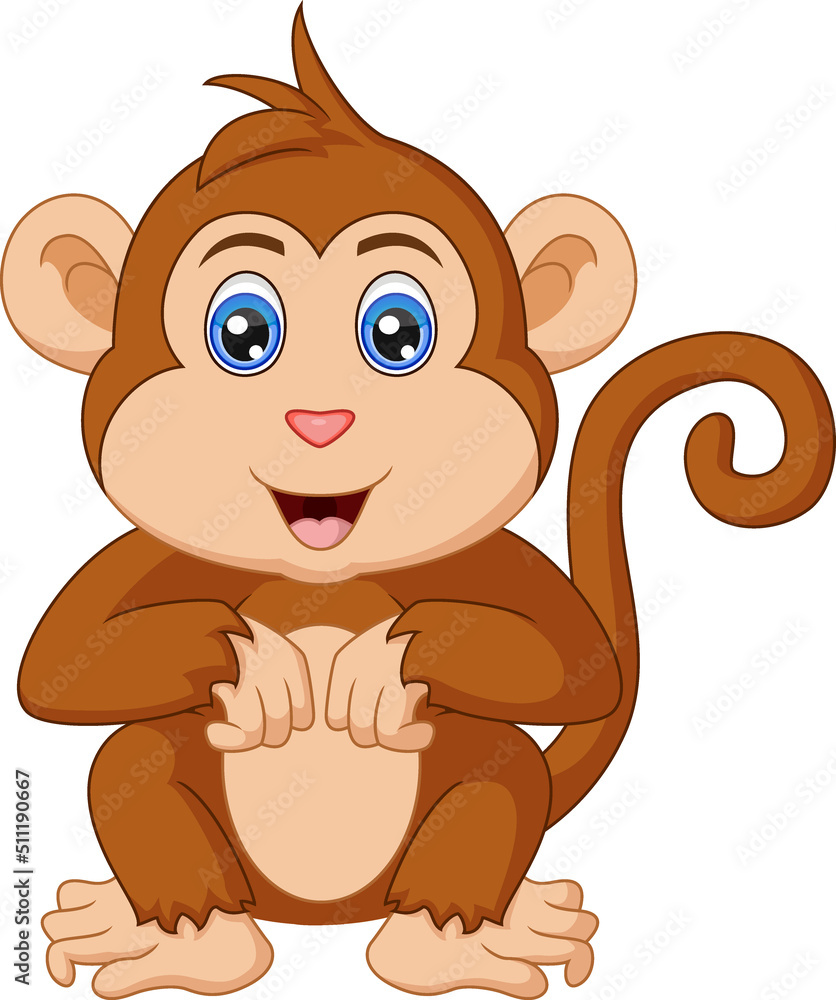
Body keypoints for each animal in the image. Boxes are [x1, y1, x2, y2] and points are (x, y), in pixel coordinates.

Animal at [1, 7, 832, 999]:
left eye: (397, 333)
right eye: (243, 332)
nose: (320, 420)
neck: (319, 582)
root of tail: (324, 915)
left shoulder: (492, 561)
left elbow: (580, 663)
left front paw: (376, 664)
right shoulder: (149, 559)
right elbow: (57, 669)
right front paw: (263, 664)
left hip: (459, 807)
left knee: (505, 773)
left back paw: (452, 940)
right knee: (132, 760)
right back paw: (188, 940)